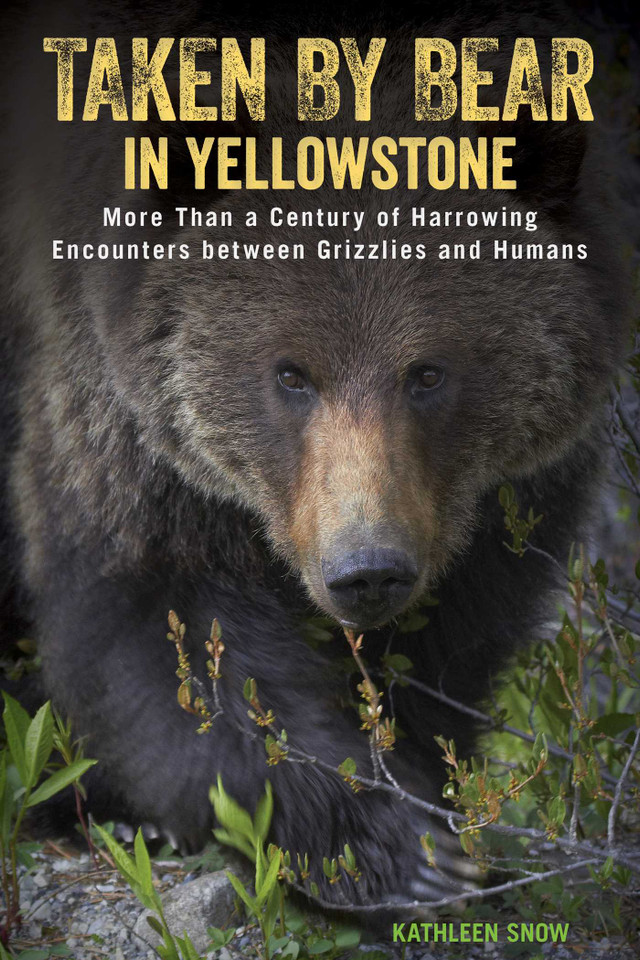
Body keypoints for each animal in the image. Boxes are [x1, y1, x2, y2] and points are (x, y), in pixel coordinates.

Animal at [0, 0, 632, 907]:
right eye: (291, 373)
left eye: (427, 372)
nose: (366, 570)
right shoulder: (123, 420)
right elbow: (167, 631)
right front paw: (389, 847)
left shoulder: (497, 498)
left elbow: (456, 637)